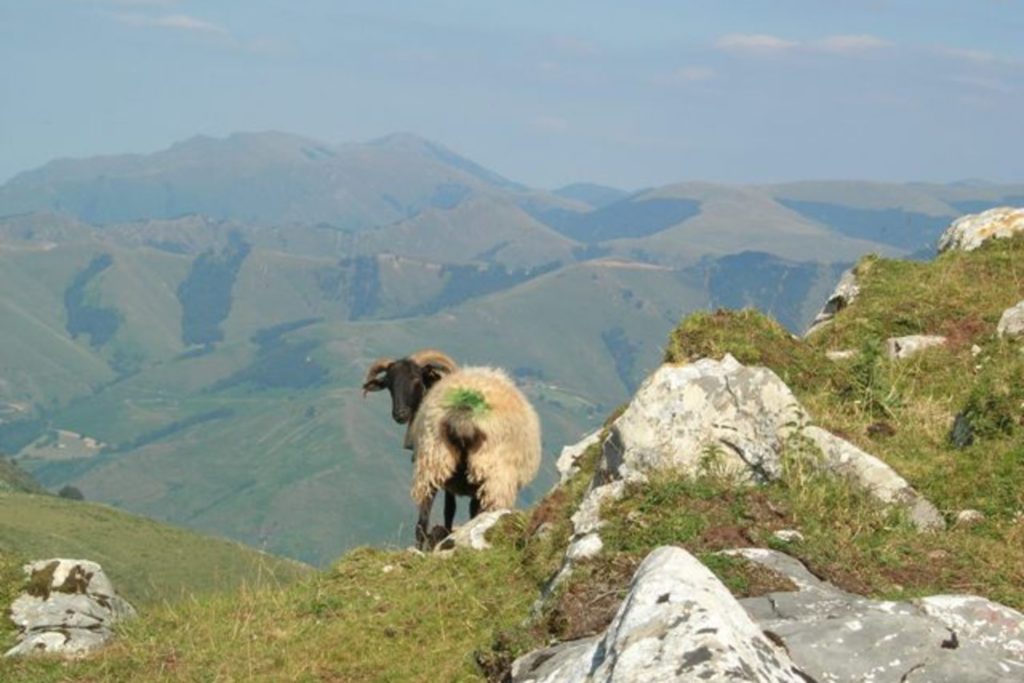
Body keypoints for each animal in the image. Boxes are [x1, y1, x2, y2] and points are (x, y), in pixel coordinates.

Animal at [366, 350, 544, 548]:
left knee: (424, 519)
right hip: (480, 471)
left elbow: (450, 511)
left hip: (438, 460)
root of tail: (464, 414)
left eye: (416, 380)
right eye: (389, 384)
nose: (400, 414)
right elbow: (452, 511)